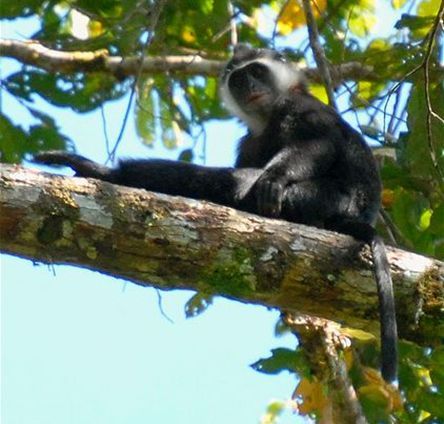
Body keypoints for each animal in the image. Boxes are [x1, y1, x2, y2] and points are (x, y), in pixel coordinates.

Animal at [33, 44, 398, 382]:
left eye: (258, 72)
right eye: (238, 80)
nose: (249, 85)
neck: (267, 118)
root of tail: (355, 216)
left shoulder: (302, 108)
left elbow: (319, 145)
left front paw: (275, 178)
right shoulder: (248, 143)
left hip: (325, 198)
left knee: (242, 182)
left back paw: (107, 173)